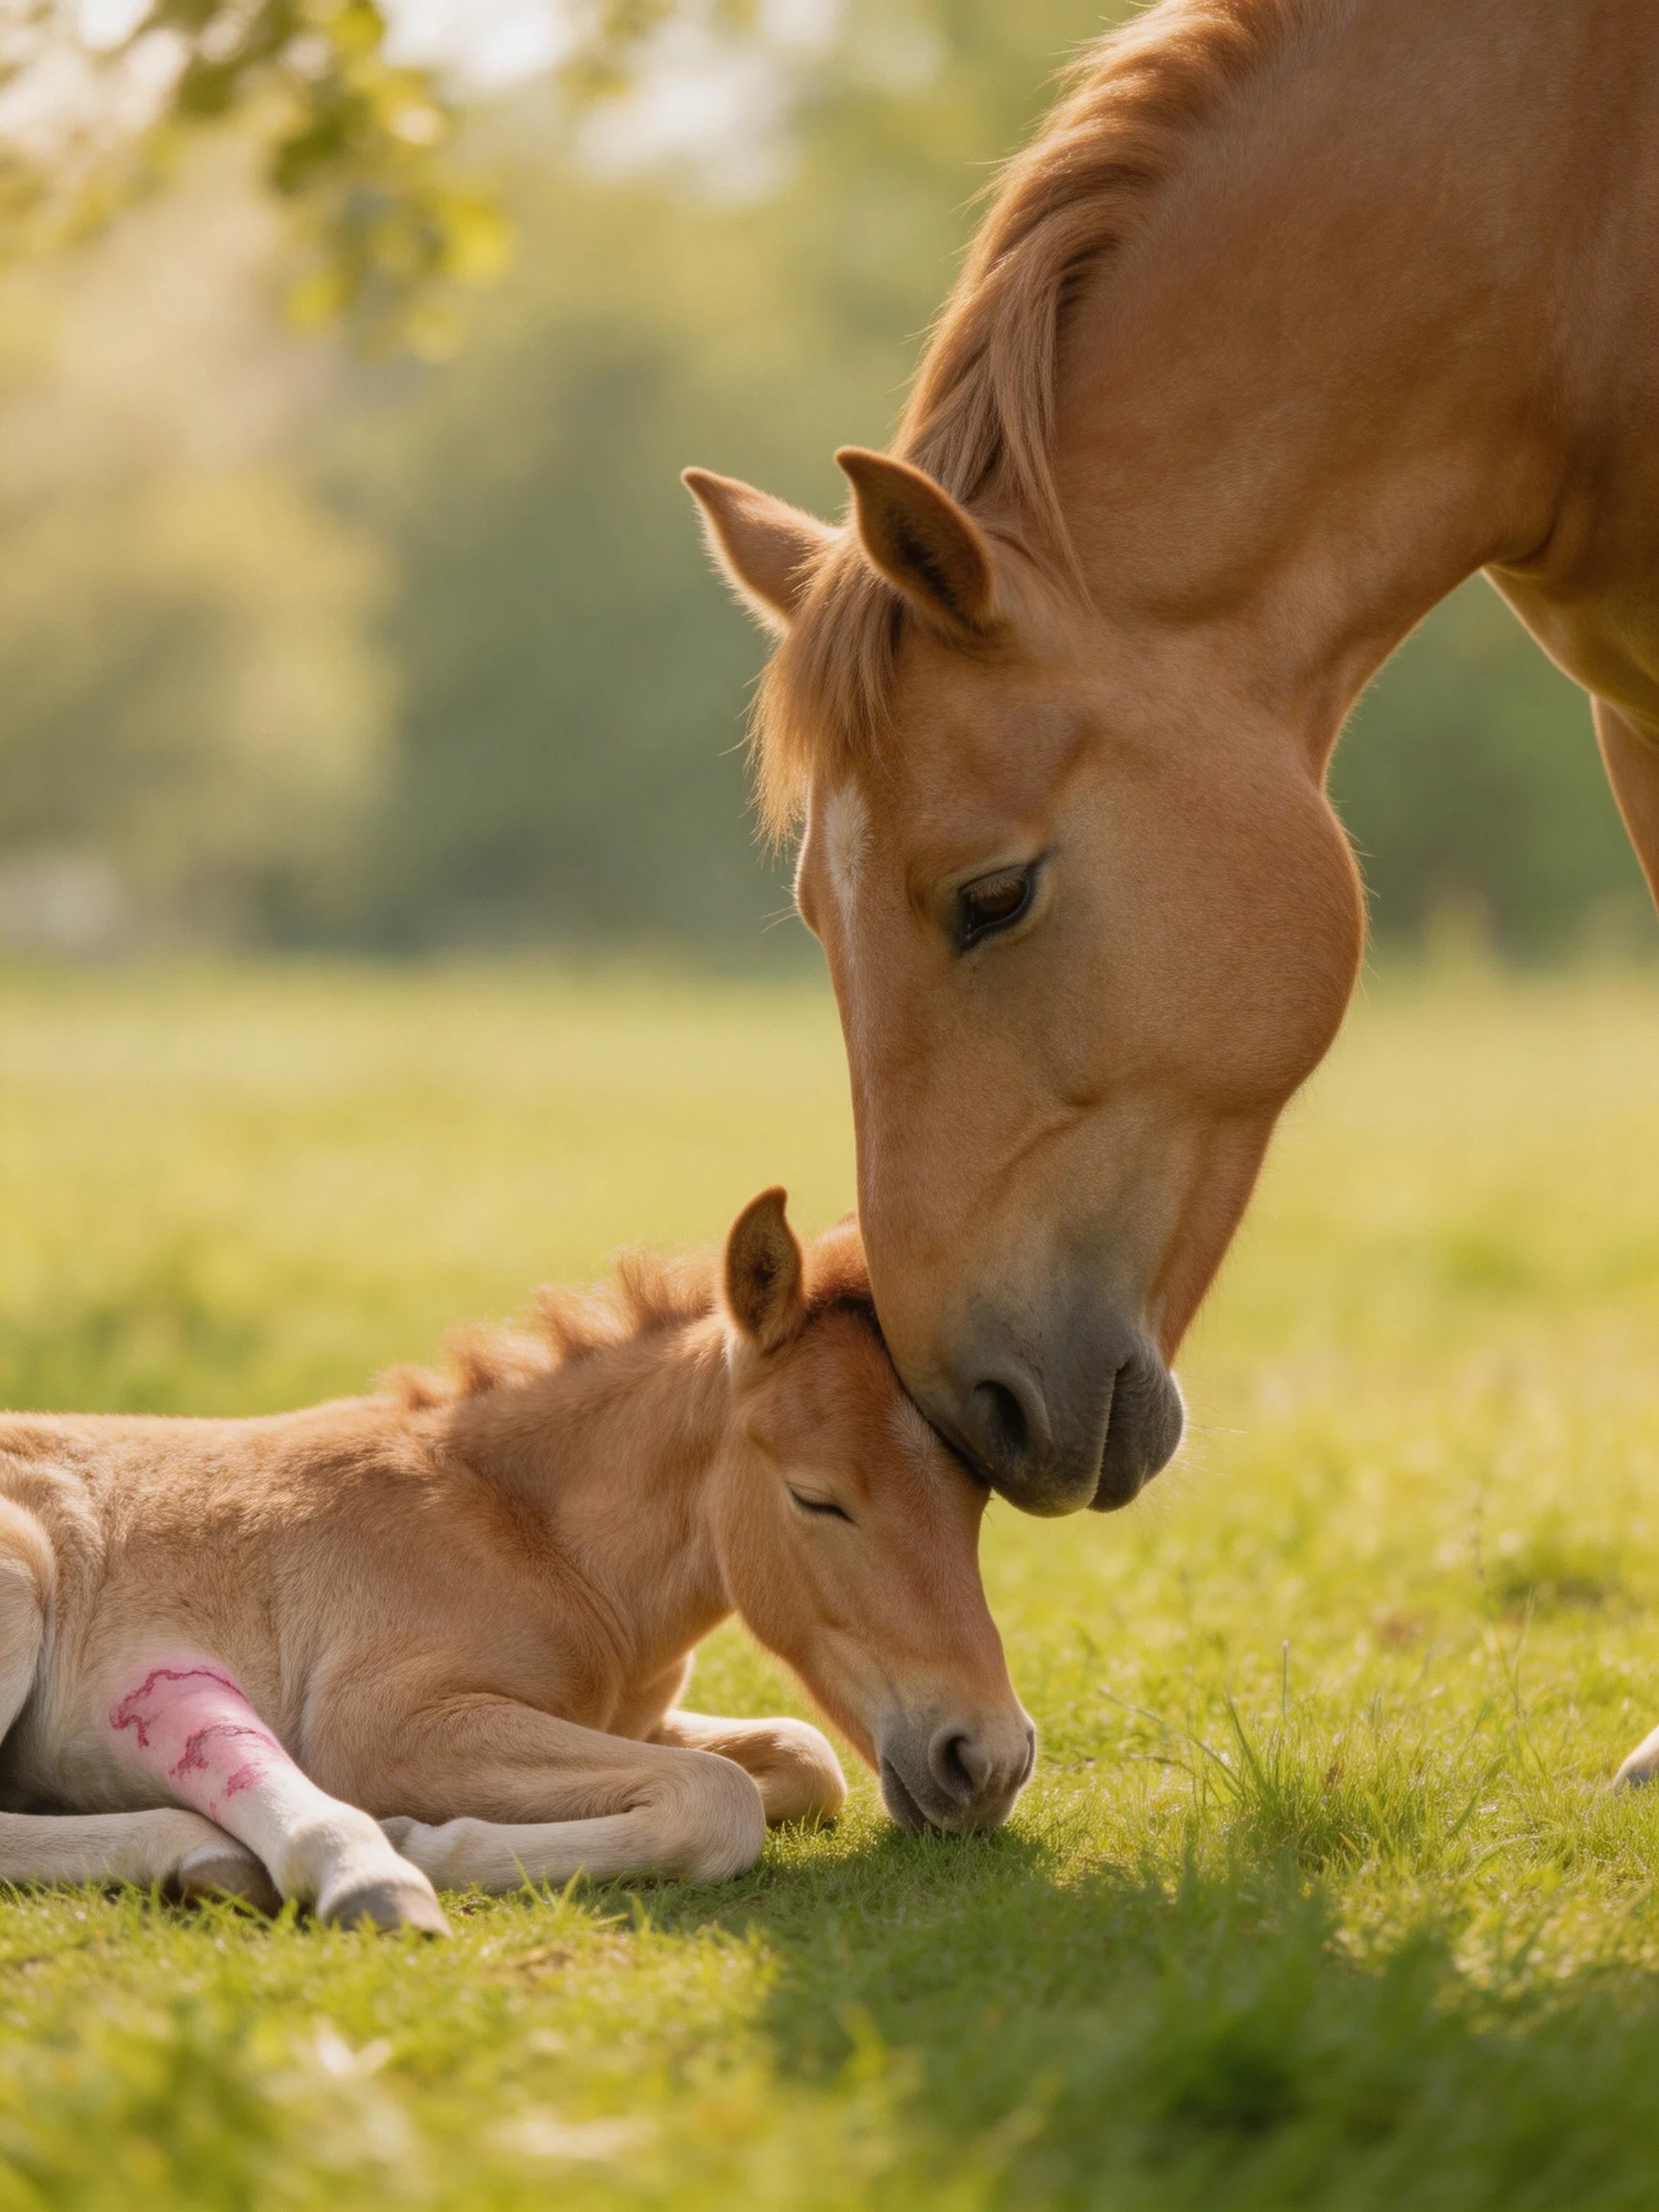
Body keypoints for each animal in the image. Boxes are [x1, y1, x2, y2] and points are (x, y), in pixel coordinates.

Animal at [0, 1191, 1032, 1931]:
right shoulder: (385, 1724)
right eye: (816, 1497)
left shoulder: (625, 1719)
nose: (989, 1760)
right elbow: (718, 1798)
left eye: (975, 1494)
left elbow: (804, 1755)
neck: (529, 1533)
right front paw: (422, 1843)